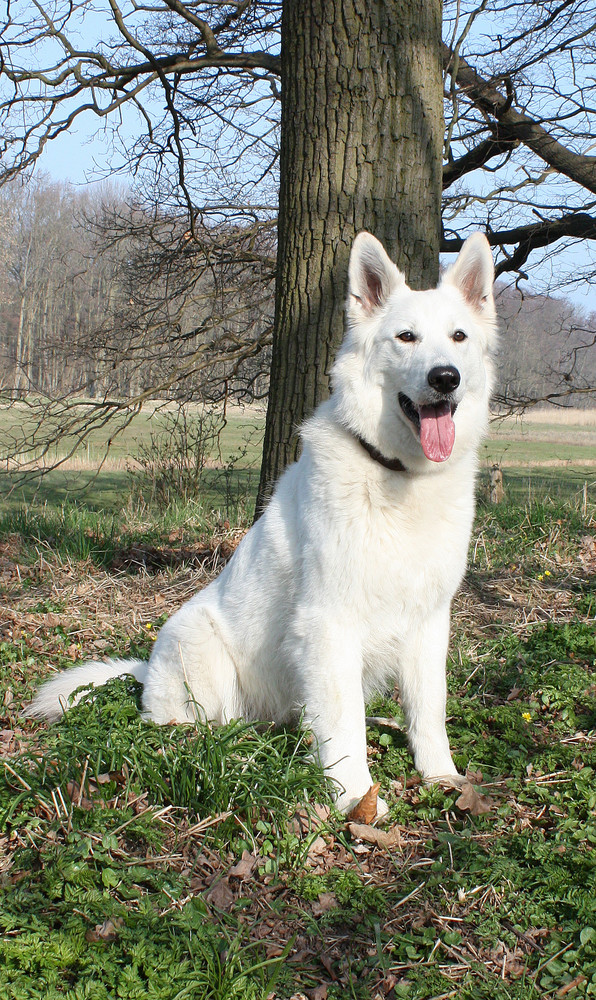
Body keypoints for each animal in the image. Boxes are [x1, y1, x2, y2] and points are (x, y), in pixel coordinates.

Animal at [28, 230, 496, 816]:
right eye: (406, 337)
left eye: (458, 337)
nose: (445, 378)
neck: (398, 475)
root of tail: (145, 672)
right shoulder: (329, 624)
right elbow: (342, 723)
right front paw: (354, 798)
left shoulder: (429, 622)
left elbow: (428, 710)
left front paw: (441, 778)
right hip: (198, 643)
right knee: (187, 723)